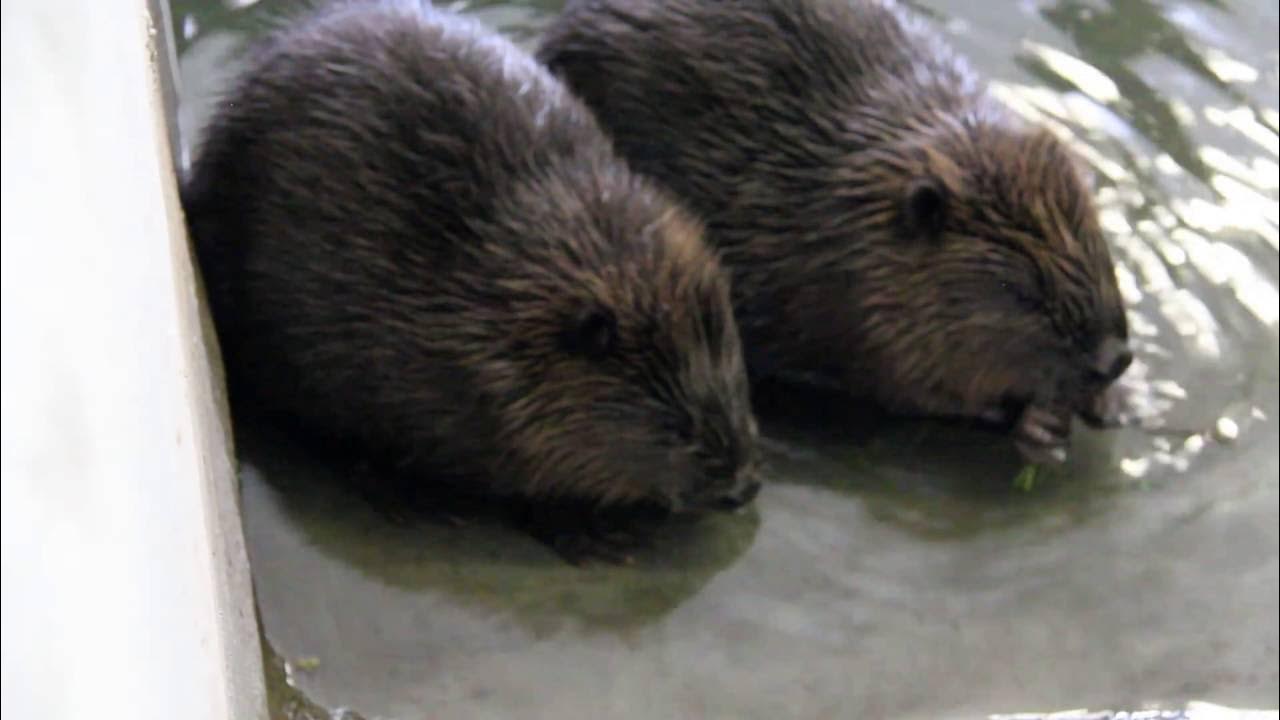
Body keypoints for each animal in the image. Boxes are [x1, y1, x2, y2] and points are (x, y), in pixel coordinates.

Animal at [537, 0, 1131, 458]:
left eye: (1101, 247)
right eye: (1023, 291)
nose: (1115, 358)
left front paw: (1110, 405)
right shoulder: (851, 310)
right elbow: (908, 390)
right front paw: (1037, 424)